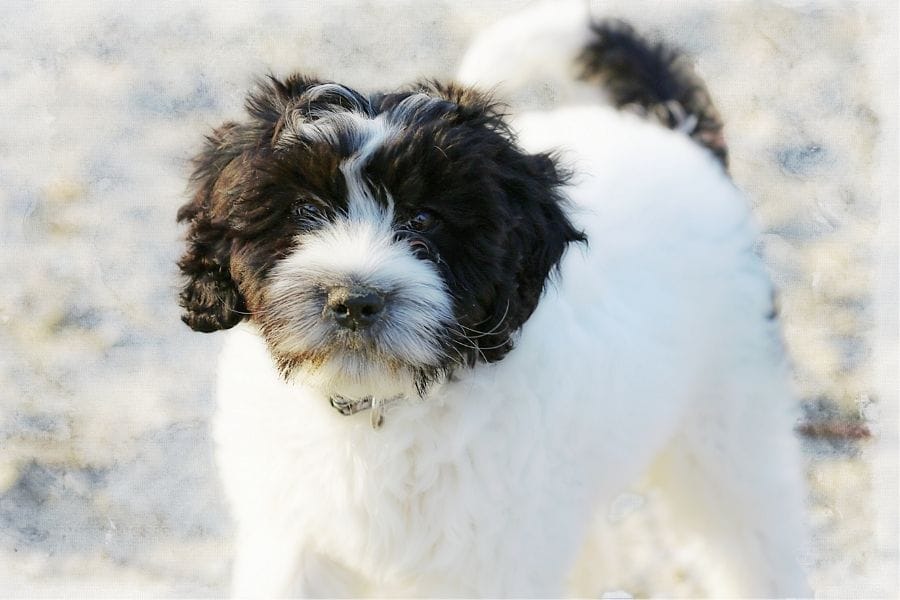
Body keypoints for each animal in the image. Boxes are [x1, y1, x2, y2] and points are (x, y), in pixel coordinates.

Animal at [176, 3, 808, 596]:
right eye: (304, 211)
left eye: (424, 220)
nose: (353, 301)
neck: (380, 406)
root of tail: (674, 134)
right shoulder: (292, 537)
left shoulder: (491, 559)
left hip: (726, 411)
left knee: (751, 528)